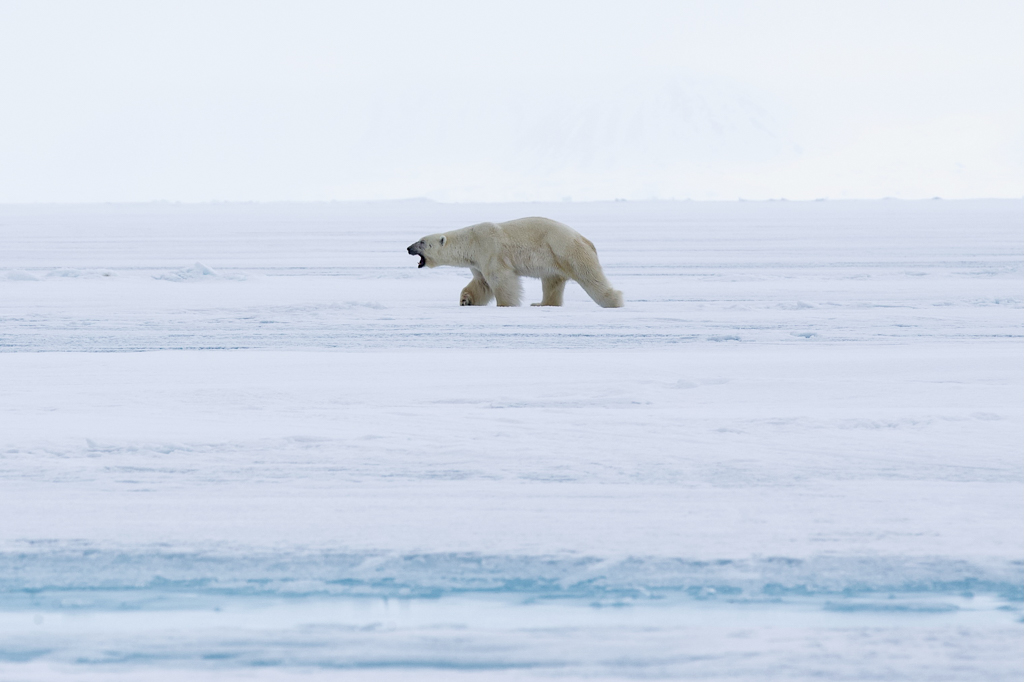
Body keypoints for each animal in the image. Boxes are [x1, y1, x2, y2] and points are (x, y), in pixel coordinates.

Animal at [406, 217, 624, 308]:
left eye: (422, 242)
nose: (408, 248)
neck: (471, 241)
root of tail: (585, 239)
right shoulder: (477, 262)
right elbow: (481, 283)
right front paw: (466, 300)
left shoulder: (490, 250)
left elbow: (500, 279)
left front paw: (505, 304)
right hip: (553, 261)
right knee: (552, 282)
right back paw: (541, 304)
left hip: (565, 250)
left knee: (590, 277)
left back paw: (615, 301)